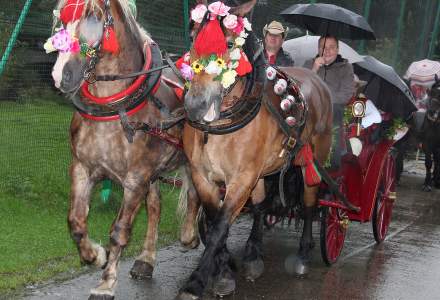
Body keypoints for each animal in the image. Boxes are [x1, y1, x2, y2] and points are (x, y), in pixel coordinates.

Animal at [49, 1, 199, 298]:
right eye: (60, 18)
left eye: (94, 16)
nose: (61, 76)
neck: (114, 107)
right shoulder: (82, 169)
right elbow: (76, 223)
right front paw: (95, 255)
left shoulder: (135, 180)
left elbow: (119, 231)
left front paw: (106, 283)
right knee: (155, 205)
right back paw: (146, 259)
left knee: (196, 195)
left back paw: (190, 236)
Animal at [180, 0, 332, 298]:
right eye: (193, 38)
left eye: (229, 43)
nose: (195, 105)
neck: (221, 127)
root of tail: (317, 79)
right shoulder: (203, 176)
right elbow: (215, 222)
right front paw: (224, 269)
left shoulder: (241, 179)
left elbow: (220, 226)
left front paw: (197, 281)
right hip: (261, 171)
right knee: (261, 206)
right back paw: (253, 253)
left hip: (312, 161)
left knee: (309, 204)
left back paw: (303, 254)